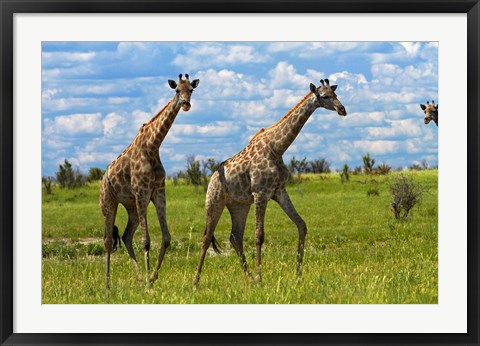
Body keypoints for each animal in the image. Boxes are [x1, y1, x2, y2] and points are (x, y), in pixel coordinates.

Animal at [100, 72, 200, 286]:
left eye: (191, 90)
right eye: (177, 90)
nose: (186, 104)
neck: (153, 146)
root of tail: (104, 177)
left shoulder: (158, 192)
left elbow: (166, 238)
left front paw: (152, 278)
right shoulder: (142, 192)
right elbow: (146, 241)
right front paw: (148, 282)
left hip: (131, 207)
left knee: (126, 236)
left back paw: (138, 278)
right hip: (108, 202)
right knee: (107, 239)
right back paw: (108, 283)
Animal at [193, 79, 346, 286]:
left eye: (335, 93)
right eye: (325, 96)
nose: (342, 109)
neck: (277, 148)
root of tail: (211, 178)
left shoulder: (279, 191)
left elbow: (302, 225)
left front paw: (298, 275)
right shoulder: (261, 193)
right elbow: (259, 236)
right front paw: (261, 278)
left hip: (239, 205)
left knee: (235, 237)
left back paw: (248, 279)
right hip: (214, 201)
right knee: (207, 236)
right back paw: (196, 282)